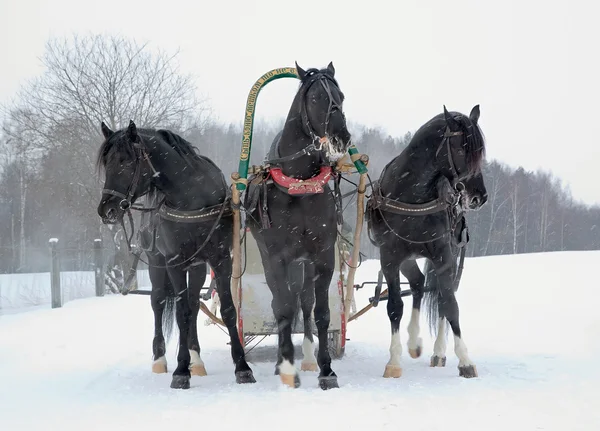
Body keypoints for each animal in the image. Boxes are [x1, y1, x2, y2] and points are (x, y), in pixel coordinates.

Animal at [95, 120, 253, 388]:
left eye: (126, 161)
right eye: (107, 163)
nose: (107, 210)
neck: (193, 197)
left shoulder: (220, 258)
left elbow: (227, 310)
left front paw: (242, 367)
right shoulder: (174, 262)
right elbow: (181, 313)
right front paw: (181, 370)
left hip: (197, 265)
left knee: (193, 302)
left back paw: (196, 359)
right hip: (156, 263)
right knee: (158, 302)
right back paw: (161, 359)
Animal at [244, 61, 352, 392]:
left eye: (341, 96)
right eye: (316, 98)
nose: (341, 136)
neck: (299, 184)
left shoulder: (322, 256)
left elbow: (320, 312)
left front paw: (326, 369)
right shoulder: (278, 257)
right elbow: (283, 309)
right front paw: (287, 367)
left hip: (304, 263)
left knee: (303, 301)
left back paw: (306, 356)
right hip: (273, 260)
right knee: (283, 301)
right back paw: (285, 361)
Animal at [366, 106, 488, 380]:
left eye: (480, 152)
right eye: (462, 149)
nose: (480, 197)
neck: (412, 193)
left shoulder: (443, 255)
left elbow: (450, 305)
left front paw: (465, 360)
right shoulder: (390, 257)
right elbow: (395, 306)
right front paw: (394, 361)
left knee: (440, 296)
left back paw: (438, 352)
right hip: (407, 258)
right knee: (418, 284)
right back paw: (413, 342)